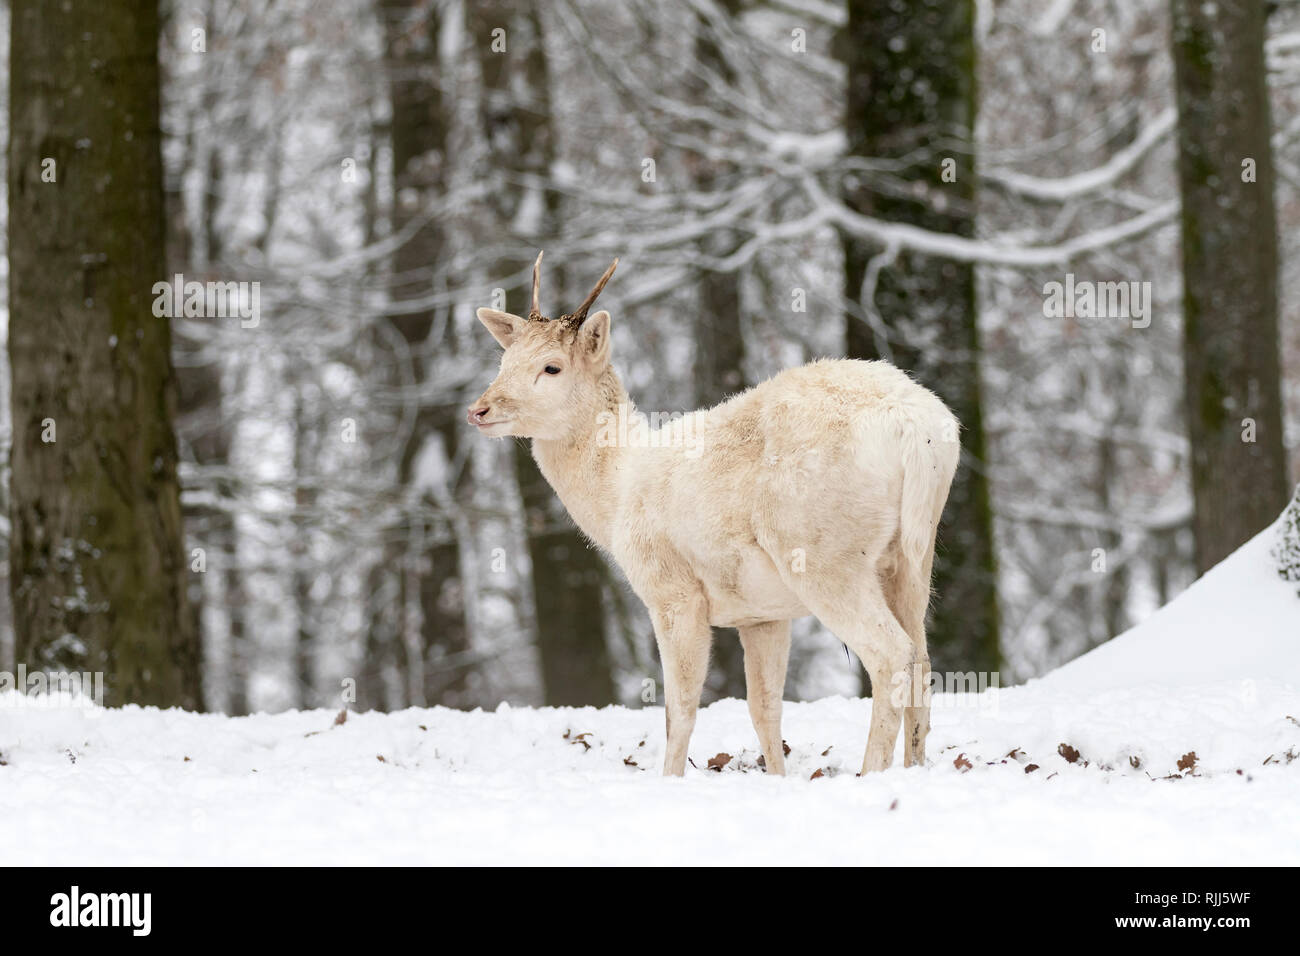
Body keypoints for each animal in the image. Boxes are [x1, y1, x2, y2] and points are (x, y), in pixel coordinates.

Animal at [473, 256, 961, 780]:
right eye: (504, 362)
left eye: (552, 367)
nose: (479, 409)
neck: (617, 494)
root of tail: (915, 425)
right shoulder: (763, 614)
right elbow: (763, 707)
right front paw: (777, 778)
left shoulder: (671, 591)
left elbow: (680, 708)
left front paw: (670, 779)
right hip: (913, 556)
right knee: (922, 659)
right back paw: (914, 766)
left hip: (824, 554)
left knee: (890, 654)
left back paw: (872, 772)